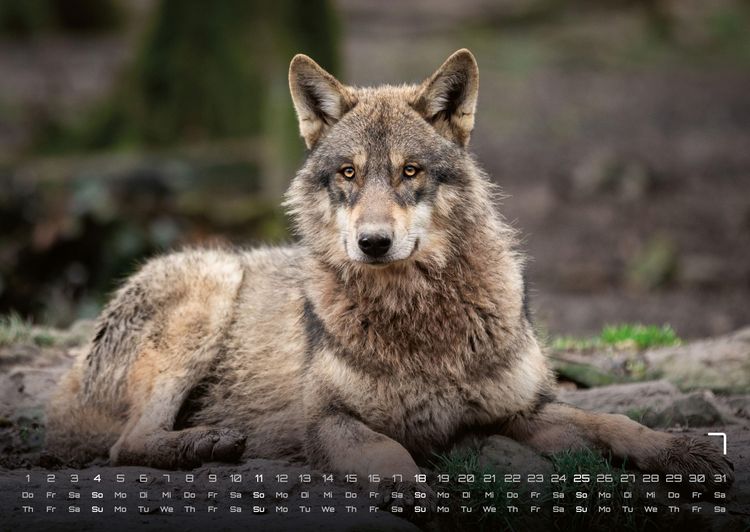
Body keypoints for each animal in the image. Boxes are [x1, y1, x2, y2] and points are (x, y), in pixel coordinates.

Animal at [46, 49, 732, 508]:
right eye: (348, 173)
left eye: (409, 171)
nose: (372, 242)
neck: (419, 320)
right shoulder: (328, 421)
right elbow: (393, 458)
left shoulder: (520, 410)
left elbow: (613, 424)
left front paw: (682, 451)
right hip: (208, 291)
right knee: (126, 445)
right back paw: (207, 443)